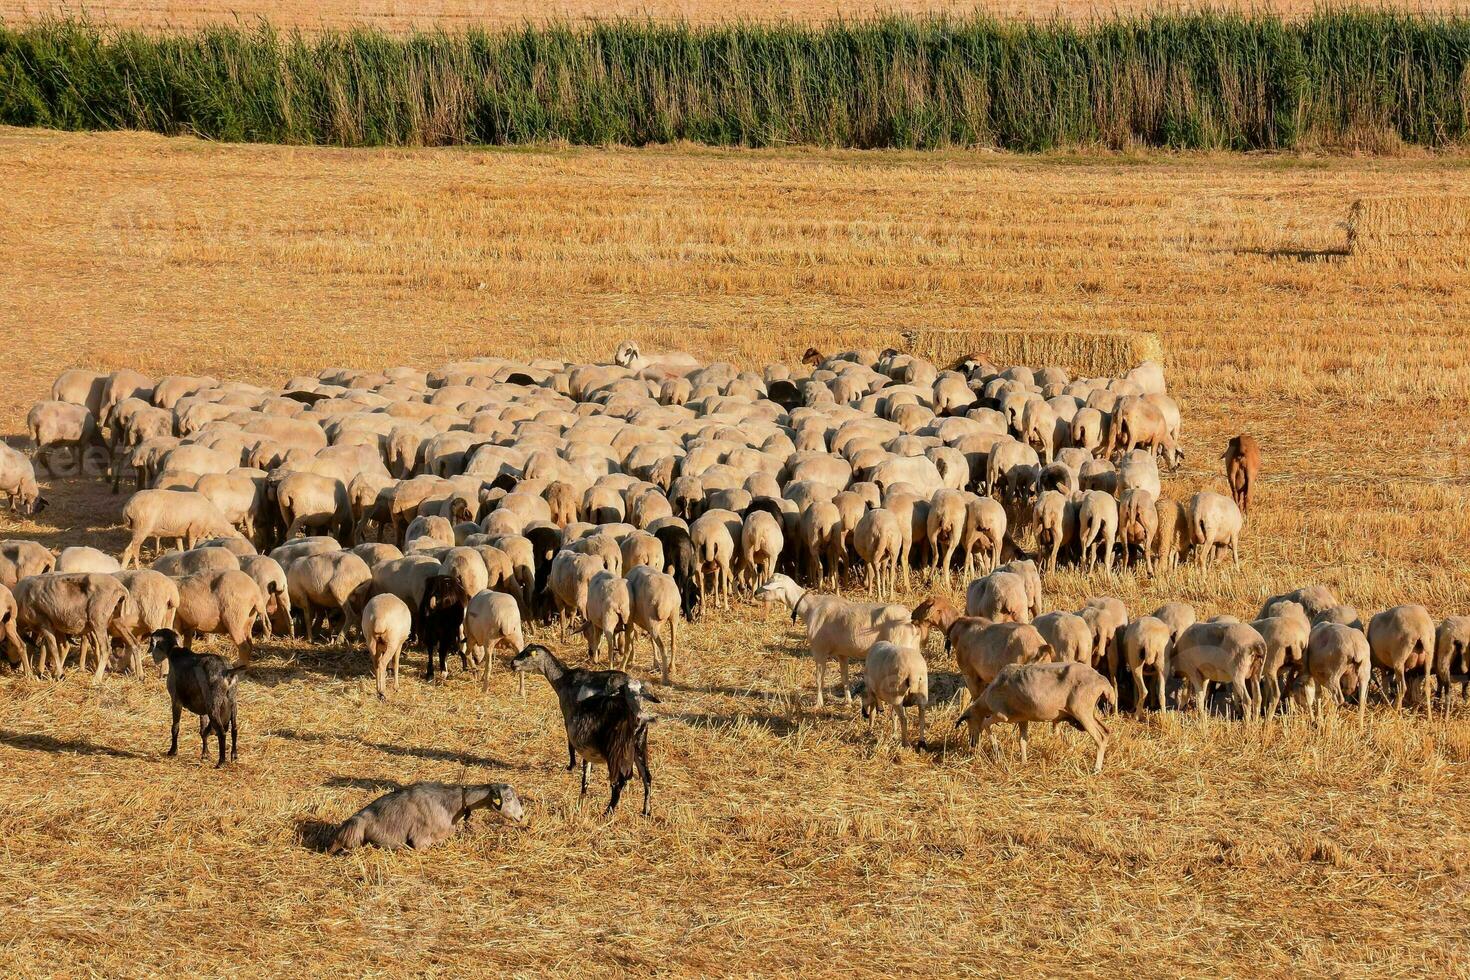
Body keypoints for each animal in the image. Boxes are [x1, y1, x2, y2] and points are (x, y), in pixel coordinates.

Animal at [149, 631, 241, 769]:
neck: (174, 654)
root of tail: (227, 671)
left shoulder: (176, 700)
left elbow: (175, 727)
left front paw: (172, 751)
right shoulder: (203, 710)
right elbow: (202, 730)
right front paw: (205, 754)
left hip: (214, 706)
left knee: (222, 733)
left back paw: (221, 762)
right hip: (233, 703)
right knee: (234, 728)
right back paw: (234, 756)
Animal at [952, 658, 1111, 775]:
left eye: (968, 722)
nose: (972, 743)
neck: (986, 700)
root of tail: (1103, 682)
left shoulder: (1002, 715)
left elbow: (985, 724)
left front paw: (996, 751)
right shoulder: (1023, 718)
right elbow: (1022, 740)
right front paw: (1023, 762)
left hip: (1081, 711)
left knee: (1100, 736)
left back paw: (1096, 769)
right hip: (1089, 713)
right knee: (1106, 731)